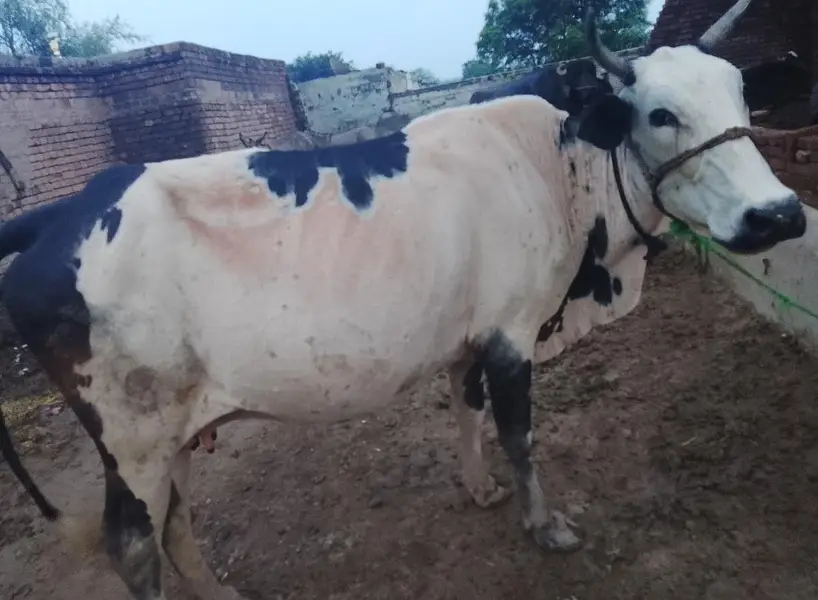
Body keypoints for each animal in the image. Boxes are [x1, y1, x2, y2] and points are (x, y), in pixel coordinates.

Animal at [0, 1, 807, 599]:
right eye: (659, 114)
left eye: (740, 95)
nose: (778, 215)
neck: (559, 166)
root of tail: (65, 210)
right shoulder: (513, 333)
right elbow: (520, 436)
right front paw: (545, 526)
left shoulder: (471, 338)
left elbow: (468, 413)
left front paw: (479, 490)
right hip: (131, 438)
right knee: (135, 545)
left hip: (173, 431)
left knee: (174, 522)